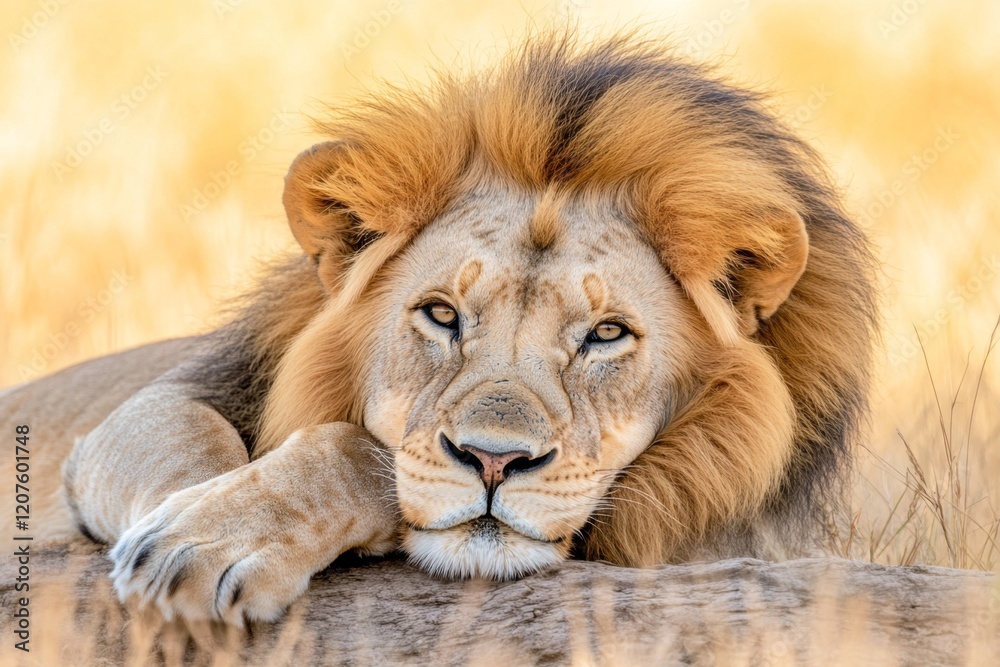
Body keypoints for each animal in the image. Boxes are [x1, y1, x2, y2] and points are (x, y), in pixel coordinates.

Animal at [0, 34, 876, 625]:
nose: (495, 461)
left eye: (605, 334)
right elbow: (217, 447)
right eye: (442, 314)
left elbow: (363, 455)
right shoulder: (134, 419)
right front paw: (189, 539)